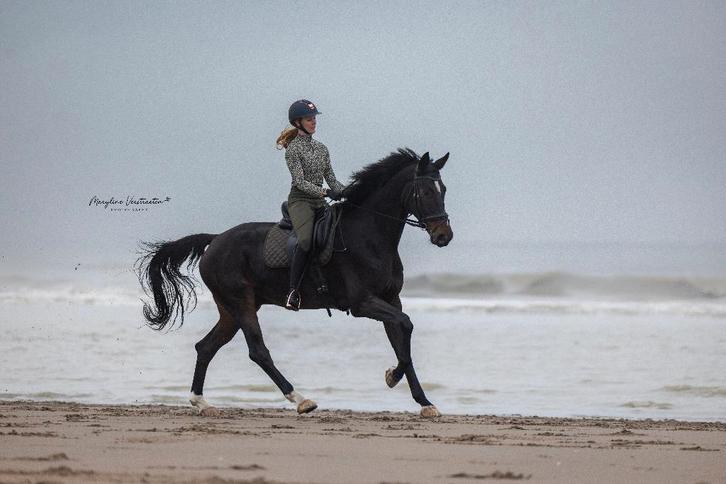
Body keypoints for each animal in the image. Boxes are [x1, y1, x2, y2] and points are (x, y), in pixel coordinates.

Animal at [135, 148, 453, 418]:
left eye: (444, 190)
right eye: (425, 191)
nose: (443, 236)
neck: (369, 235)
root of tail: (215, 240)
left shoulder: (389, 300)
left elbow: (402, 341)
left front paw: (424, 402)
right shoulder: (363, 303)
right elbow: (406, 326)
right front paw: (392, 377)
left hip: (231, 309)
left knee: (206, 347)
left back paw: (201, 403)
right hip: (241, 303)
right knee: (258, 351)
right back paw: (301, 399)